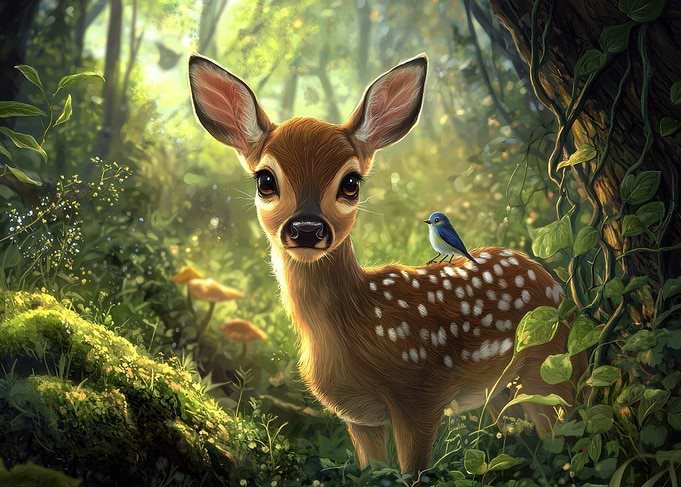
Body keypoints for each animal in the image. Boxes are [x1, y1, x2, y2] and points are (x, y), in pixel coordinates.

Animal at [188, 53, 583, 477]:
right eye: (265, 180)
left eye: (351, 183)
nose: (307, 228)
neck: (359, 322)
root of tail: (554, 283)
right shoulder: (358, 416)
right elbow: (373, 470)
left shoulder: (421, 393)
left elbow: (414, 472)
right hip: (503, 389)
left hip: (551, 367)